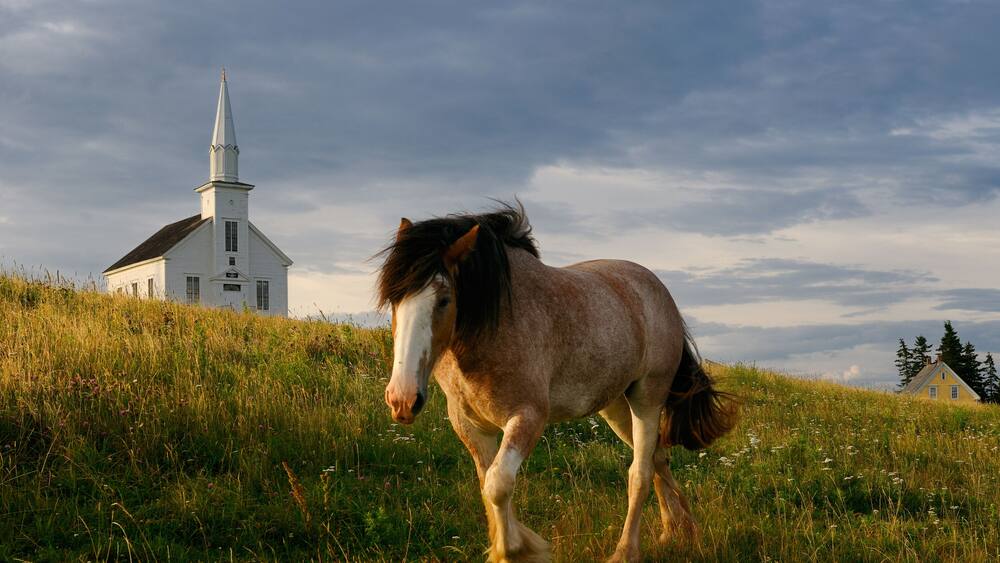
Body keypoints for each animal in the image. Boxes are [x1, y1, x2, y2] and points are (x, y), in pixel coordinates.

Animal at [376, 203, 736, 562]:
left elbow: (498, 484)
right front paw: (506, 546)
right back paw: (679, 531)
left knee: (640, 473)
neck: (496, 324)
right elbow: (487, 486)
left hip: (648, 399)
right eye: (394, 299)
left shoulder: (528, 417)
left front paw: (516, 549)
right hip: (617, 406)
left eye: (444, 300)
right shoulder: (470, 426)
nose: (402, 400)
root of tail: (660, 292)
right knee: (656, 457)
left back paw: (627, 551)